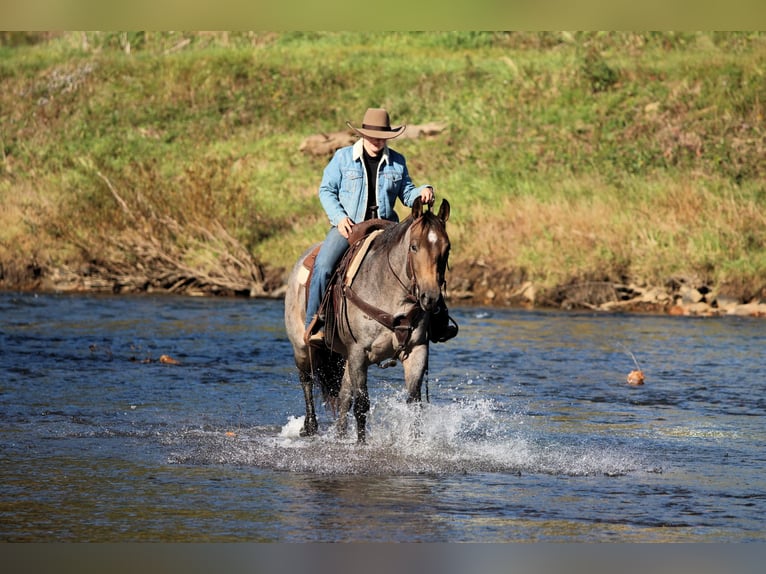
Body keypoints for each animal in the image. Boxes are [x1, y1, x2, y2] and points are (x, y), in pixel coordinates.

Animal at [284, 198, 451, 442]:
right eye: (414, 246)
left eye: (447, 248)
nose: (430, 298)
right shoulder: (359, 352)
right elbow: (362, 404)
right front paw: (361, 444)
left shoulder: (417, 349)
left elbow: (414, 403)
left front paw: (415, 442)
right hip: (302, 347)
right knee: (307, 379)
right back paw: (310, 427)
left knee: (343, 396)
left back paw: (340, 435)